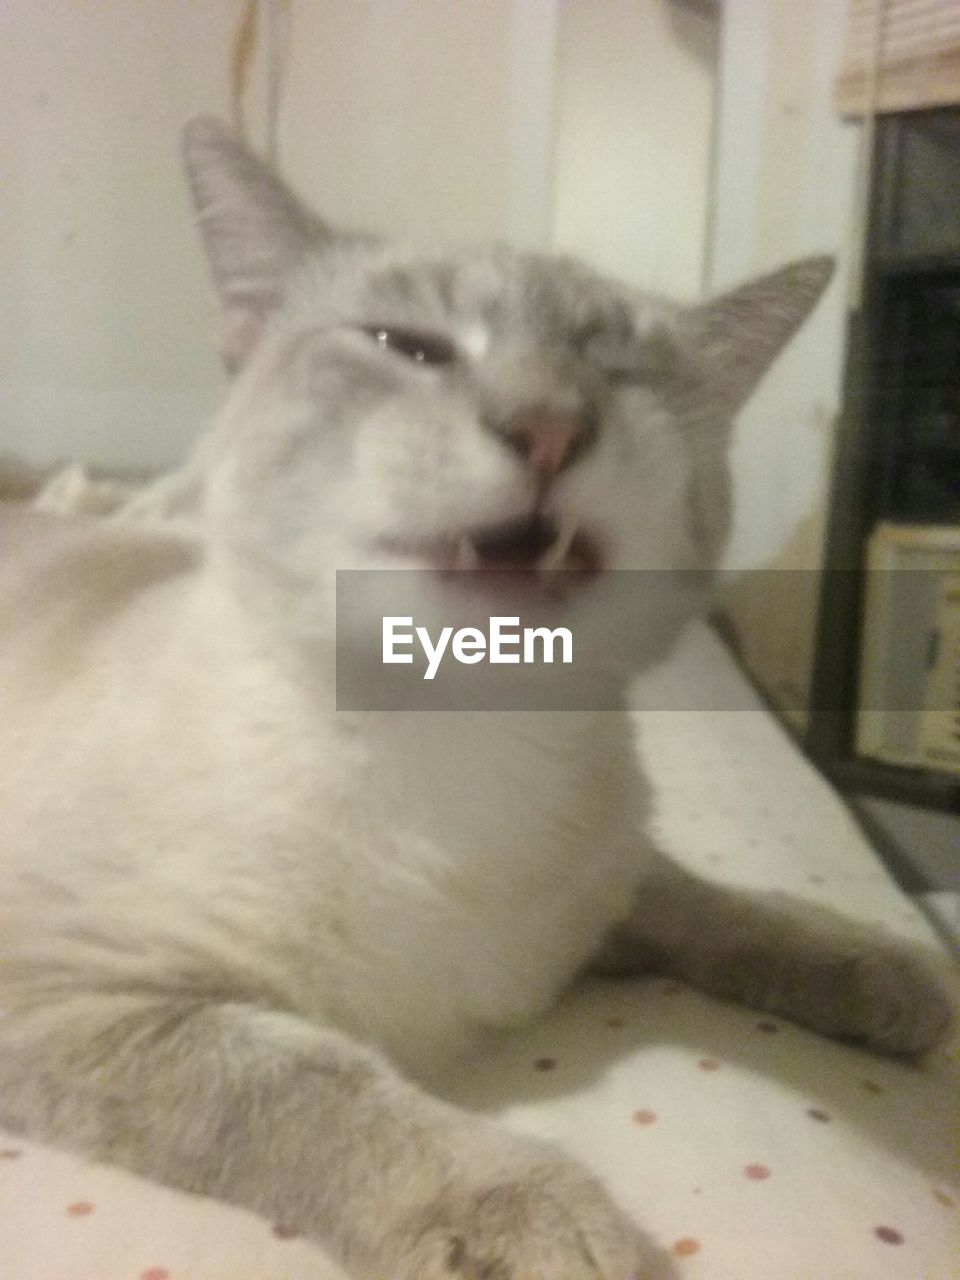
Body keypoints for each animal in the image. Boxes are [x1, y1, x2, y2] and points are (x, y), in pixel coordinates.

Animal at [0, 120, 952, 1280]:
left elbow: (720, 907)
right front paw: (538, 1217)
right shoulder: (87, 997)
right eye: (411, 349)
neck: (458, 749)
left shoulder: (608, 889)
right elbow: (316, 1086)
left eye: (617, 373)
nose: (546, 427)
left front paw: (885, 970)